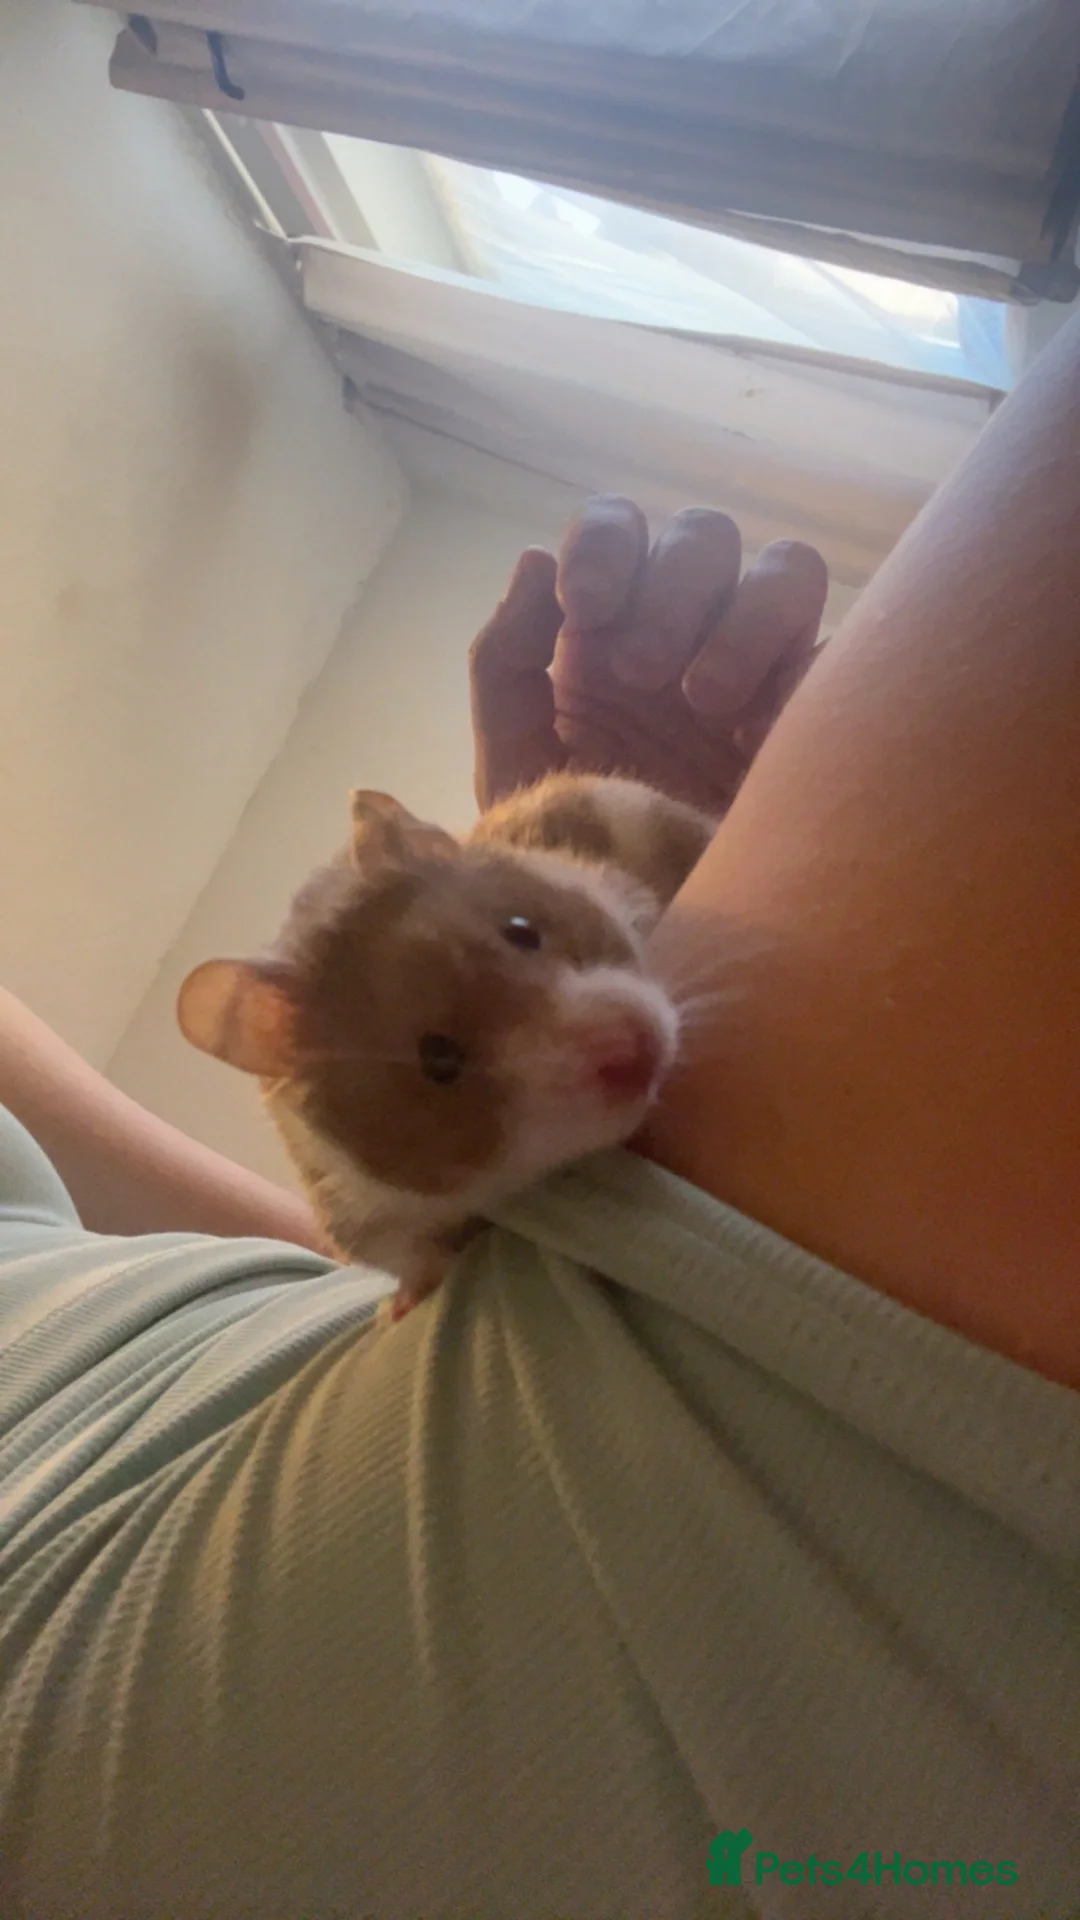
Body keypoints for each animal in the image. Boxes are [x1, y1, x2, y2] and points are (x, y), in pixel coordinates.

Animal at [177, 773, 715, 1316]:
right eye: (438, 1059)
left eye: (522, 931)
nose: (641, 1048)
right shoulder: (368, 1224)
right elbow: (415, 1259)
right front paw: (397, 1309)